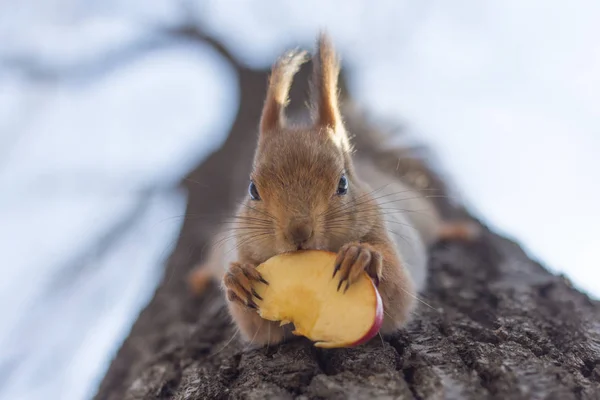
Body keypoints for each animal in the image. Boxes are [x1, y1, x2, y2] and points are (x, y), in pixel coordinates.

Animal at [188, 33, 478, 346]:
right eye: (253, 190)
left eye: (343, 184)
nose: (299, 232)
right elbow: (260, 330)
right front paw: (237, 278)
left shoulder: (386, 232)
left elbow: (399, 297)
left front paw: (363, 256)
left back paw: (455, 230)